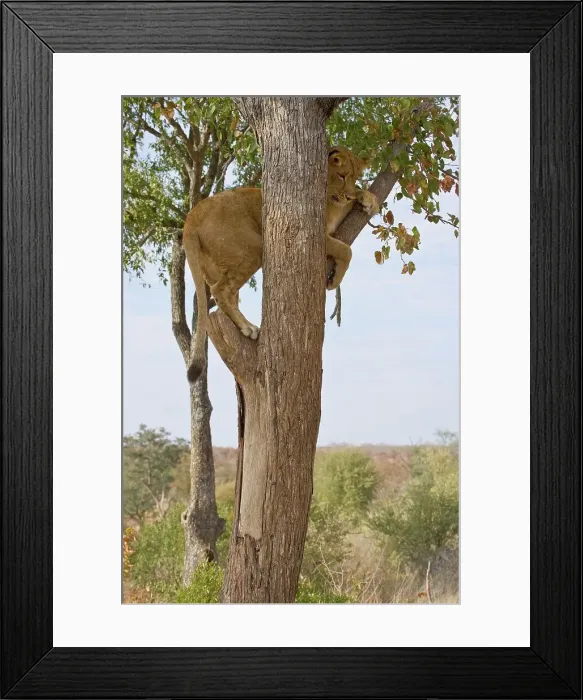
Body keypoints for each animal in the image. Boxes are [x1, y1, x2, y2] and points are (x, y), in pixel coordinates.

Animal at [183, 145, 379, 383]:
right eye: (342, 175)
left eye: (354, 177)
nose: (349, 194)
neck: (330, 197)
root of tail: (191, 216)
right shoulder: (318, 235)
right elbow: (346, 250)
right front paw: (334, 281)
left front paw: (368, 199)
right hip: (253, 248)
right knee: (220, 291)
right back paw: (248, 327)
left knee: (226, 294)